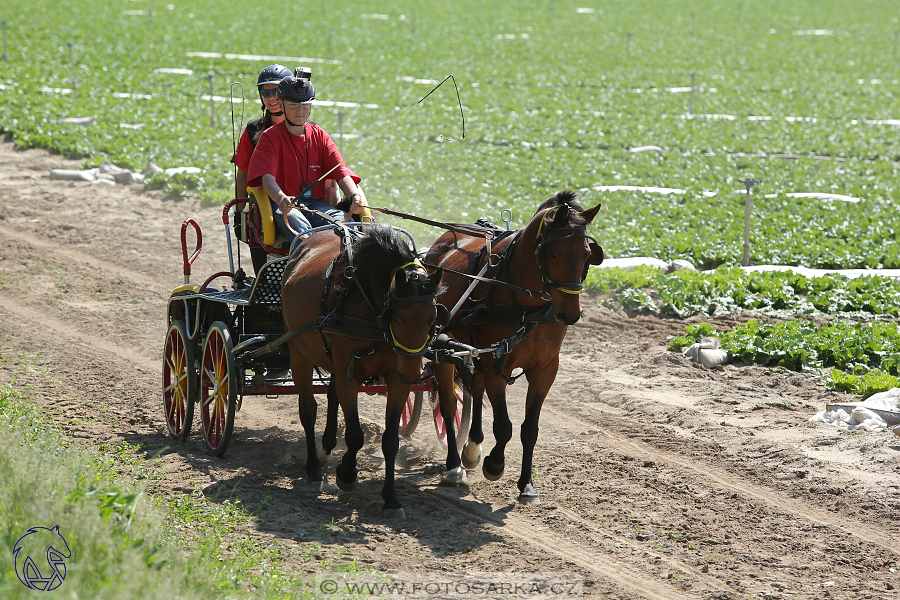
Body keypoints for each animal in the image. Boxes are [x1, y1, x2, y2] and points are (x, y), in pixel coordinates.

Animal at [282, 223, 442, 516]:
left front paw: (391, 499)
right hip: (298, 351)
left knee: (332, 395)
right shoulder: (349, 374)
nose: (414, 374)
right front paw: (346, 473)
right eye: (398, 318)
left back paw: (325, 449)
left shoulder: (396, 380)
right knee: (308, 410)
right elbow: (355, 435)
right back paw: (313, 470)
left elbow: (390, 441)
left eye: (432, 318)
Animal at [424, 191, 604, 506]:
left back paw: (472, 448)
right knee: (447, 404)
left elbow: (529, 429)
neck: (528, 307)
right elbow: (504, 426)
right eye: (553, 254)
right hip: (442, 348)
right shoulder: (498, 362)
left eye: (587, 254)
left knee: (475, 388)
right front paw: (495, 465)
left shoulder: (545, 369)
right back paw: (455, 466)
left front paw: (527, 485)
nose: (570, 314)